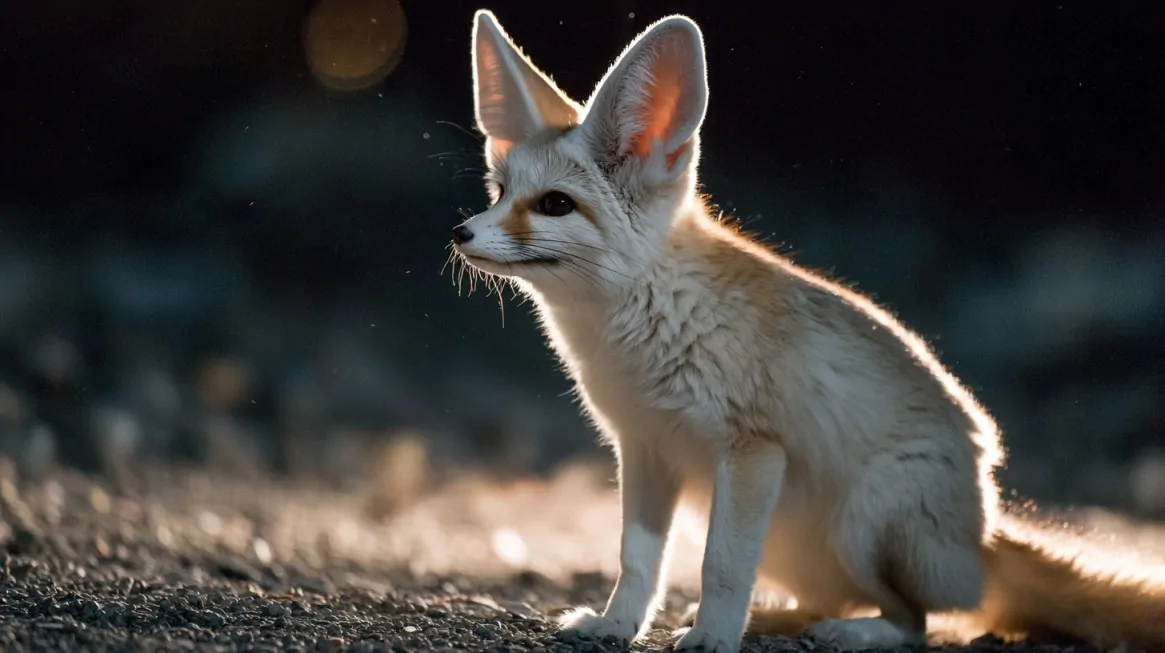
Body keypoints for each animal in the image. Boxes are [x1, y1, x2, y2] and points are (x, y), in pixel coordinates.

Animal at [449, 9, 1165, 653]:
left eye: (554, 206)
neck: (643, 322)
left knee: (916, 621)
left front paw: (713, 638)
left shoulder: (753, 452)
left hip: (863, 521)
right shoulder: (645, 450)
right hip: (789, 540)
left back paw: (853, 633)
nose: (461, 233)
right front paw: (617, 626)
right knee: (839, 598)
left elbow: (720, 566)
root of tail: (984, 533)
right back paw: (780, 618)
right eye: (499, 190)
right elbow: (637, 561)